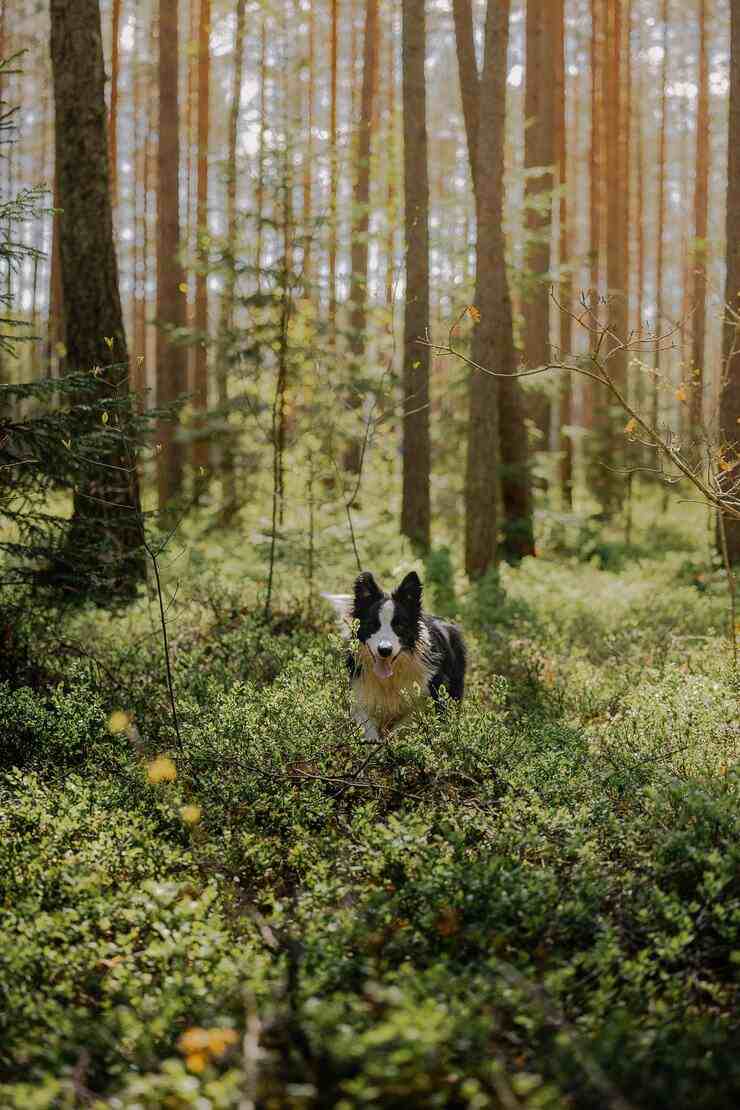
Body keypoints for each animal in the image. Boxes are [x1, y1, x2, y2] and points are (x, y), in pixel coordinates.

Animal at [321, 568, 463, 741]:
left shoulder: (426, 696)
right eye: (372, 625)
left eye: (400, 626)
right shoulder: (361, 695)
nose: (384, 650)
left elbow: (402, 726)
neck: (390, 678)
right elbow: (369, 728)